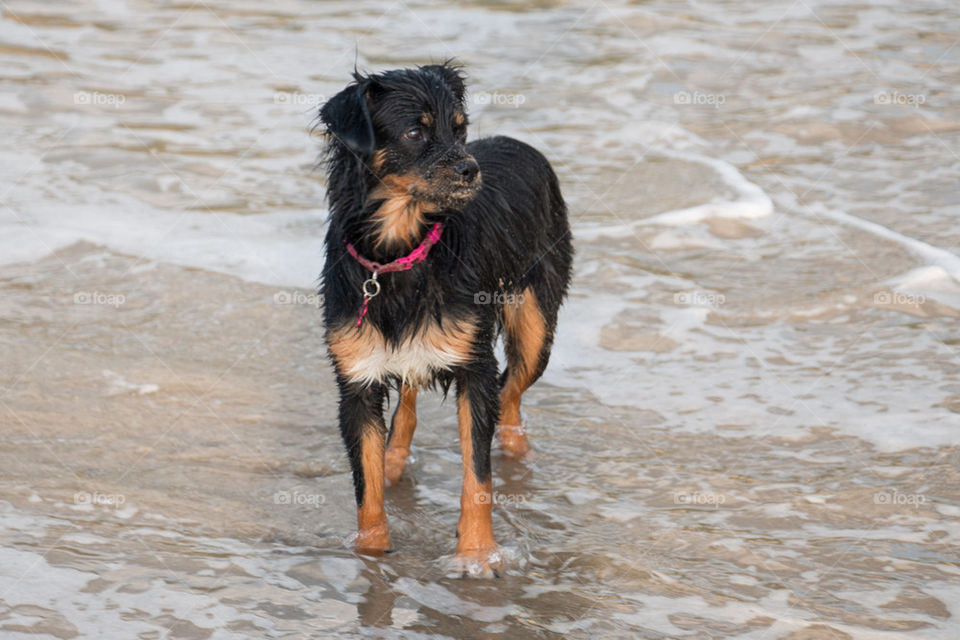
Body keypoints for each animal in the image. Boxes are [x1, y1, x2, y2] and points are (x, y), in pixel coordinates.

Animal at [316, 63, 568, 576]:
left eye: (460, 129)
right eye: (415, 132)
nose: (471, 169)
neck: (398, 254)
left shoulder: (475, 366)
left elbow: (478, 476)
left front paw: (476, 555)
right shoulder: (355, 379)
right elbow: (366, 489)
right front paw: (371, 554)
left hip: (535, 321)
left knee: (512, 391)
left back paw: (518, 454)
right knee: (410, 398)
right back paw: (395, 460)